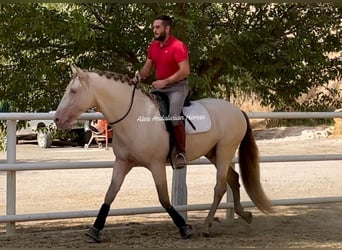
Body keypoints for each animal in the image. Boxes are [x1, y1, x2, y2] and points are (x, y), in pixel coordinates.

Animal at [53, 65, 272, 243]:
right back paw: (245, 215)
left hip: (225, 150)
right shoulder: (122, 163)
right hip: (213, 153)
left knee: (220, 186)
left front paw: (184, 228)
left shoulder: (156, 165)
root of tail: (237, 110)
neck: (135, 117)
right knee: (233, 179)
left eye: (73, 91)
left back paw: (207, 225)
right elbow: (110, 194)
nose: (56, 119)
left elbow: (164, 198)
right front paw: (95, 230)